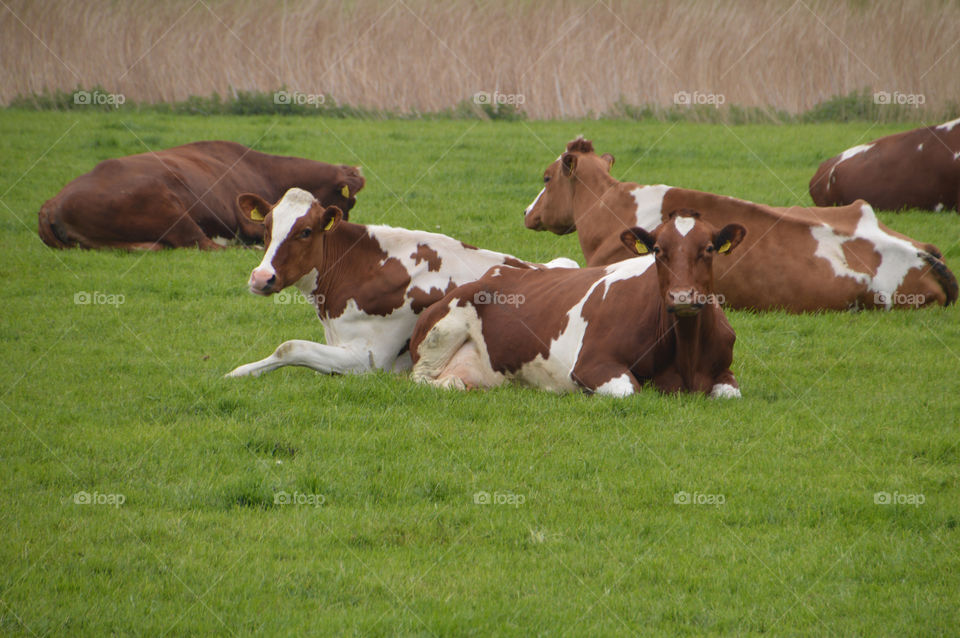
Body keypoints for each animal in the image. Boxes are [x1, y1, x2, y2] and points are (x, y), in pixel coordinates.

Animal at [37, 140, 364, 250]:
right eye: (350, 201)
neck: (264, 171)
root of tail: (52, 203)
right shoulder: (252, 224)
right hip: (170, 211)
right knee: (205, 245)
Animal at [225, 187, 578, 378]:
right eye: (267, 227)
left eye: (306, 231)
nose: (261, 277)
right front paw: (239, 371)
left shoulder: (368, 359)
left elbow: (289, 347)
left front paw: (238, 372)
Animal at [410, 211, 745, 398]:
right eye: (658, 250)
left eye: (709, 248)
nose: (683, 296)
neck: (686, 355)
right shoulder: (592, 364)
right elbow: (631, 391)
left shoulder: (725, 373)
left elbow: (730, 394)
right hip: (444, 329)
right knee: (422, 378)